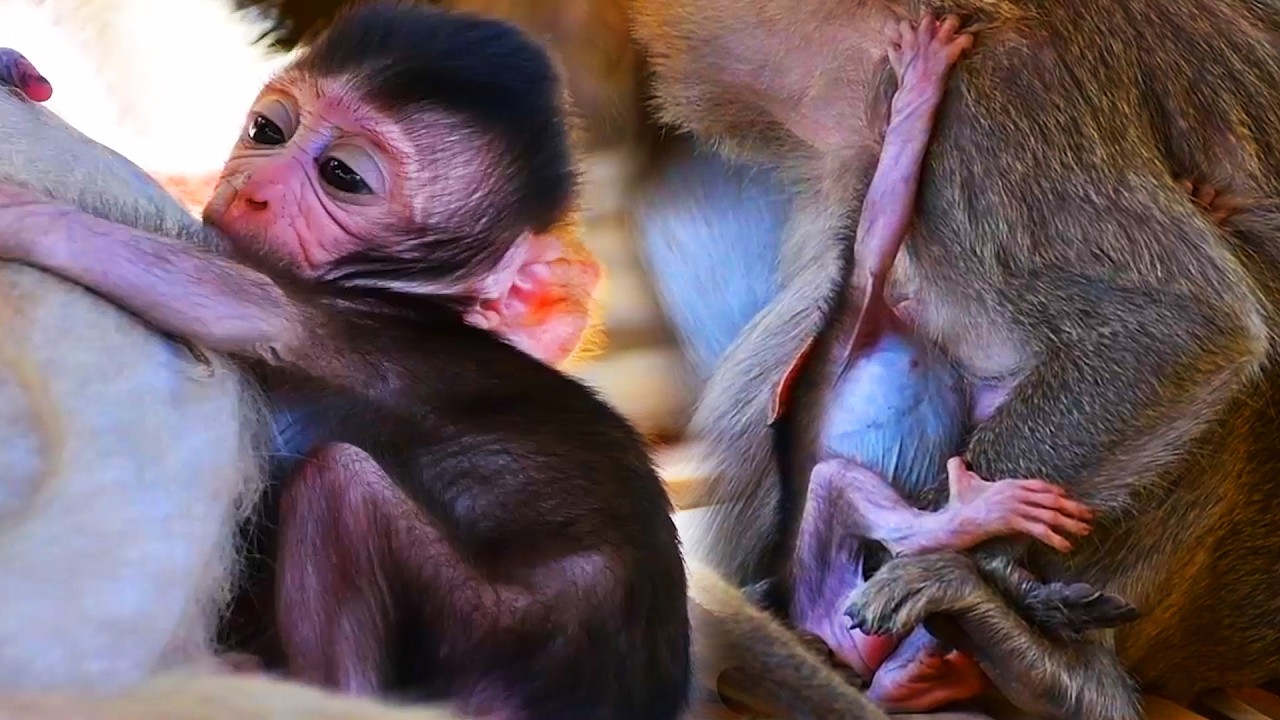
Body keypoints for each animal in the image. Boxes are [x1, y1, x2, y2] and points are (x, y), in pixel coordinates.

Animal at [0, 4, 690, 717]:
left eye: (343, 175)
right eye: (268, 132)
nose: (255, 190)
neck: (408, 294)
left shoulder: (369, 324)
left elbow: (243, 305)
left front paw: (25, 218)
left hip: (490, 626)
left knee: (340, 482)